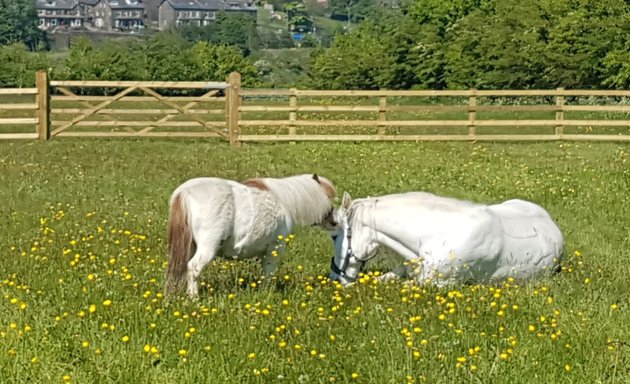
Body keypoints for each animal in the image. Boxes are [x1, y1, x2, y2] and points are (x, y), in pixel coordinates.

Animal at [165, 173, 338, 296]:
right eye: (328, 197)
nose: (334, 222)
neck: (284, 202)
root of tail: (185, 192)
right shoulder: (274, 249)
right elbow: (269, 272)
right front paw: (266, 293)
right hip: (208, 247)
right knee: (194, 268)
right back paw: (194, 298)